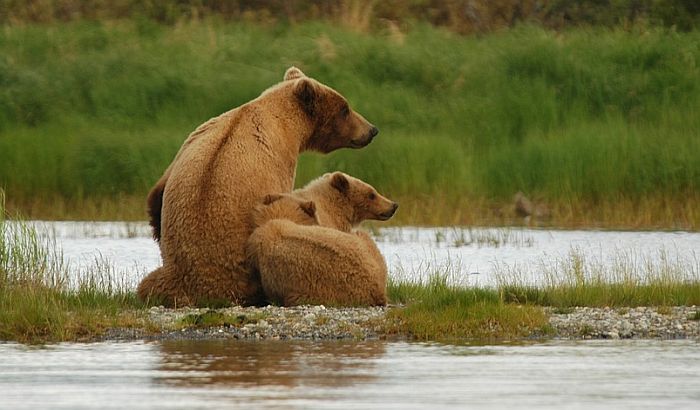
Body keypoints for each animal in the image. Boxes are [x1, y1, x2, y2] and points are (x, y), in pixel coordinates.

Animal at [137, 67, 378, 306]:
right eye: (345, 109)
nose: (372, 130)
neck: (285, 122)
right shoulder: (280, 160)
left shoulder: (190, 144)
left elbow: (155, 202)